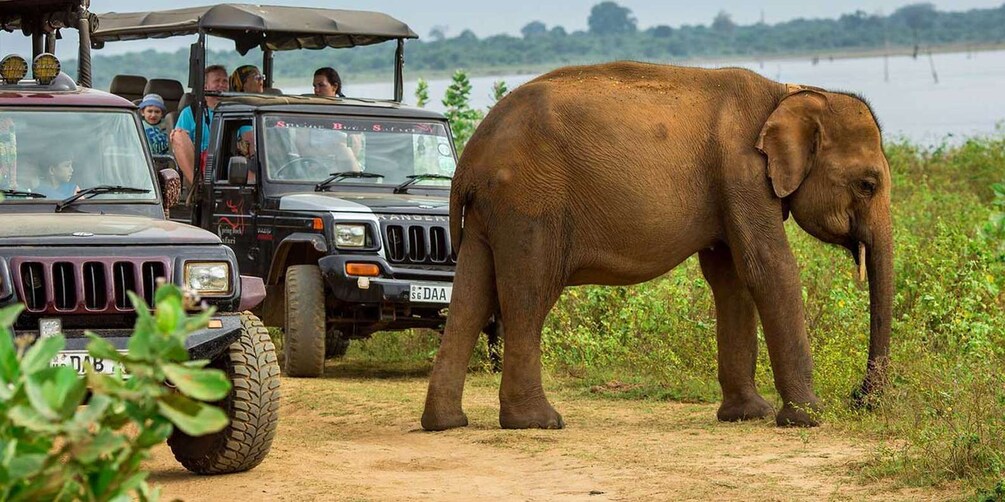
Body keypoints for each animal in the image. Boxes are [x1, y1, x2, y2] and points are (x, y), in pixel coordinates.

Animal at [420, 60, 892, 431]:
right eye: (867, 185)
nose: (862, 397)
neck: (790, 93)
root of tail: (470, 159)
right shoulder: (742, 171)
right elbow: (769, 268)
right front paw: (809, 418)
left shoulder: (730, 185)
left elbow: (732, 279)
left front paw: (748, 415)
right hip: (528, 203)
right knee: (529, 296)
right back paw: (538, 422)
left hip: (491, 212)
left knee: (470, 296)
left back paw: (446, 423)